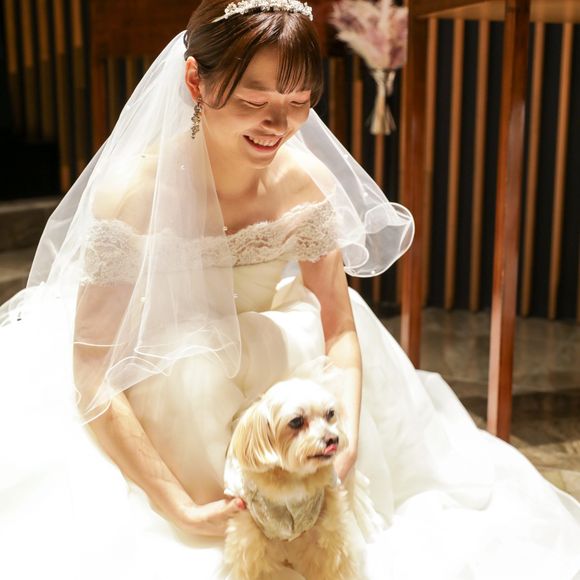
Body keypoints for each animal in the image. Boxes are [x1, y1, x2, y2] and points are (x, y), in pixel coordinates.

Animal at [223, 377, 362, 580]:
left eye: (330, 413)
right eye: (296, 421)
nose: (333, 439)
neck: (294, 481)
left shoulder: (327, 534)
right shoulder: (251, 542)